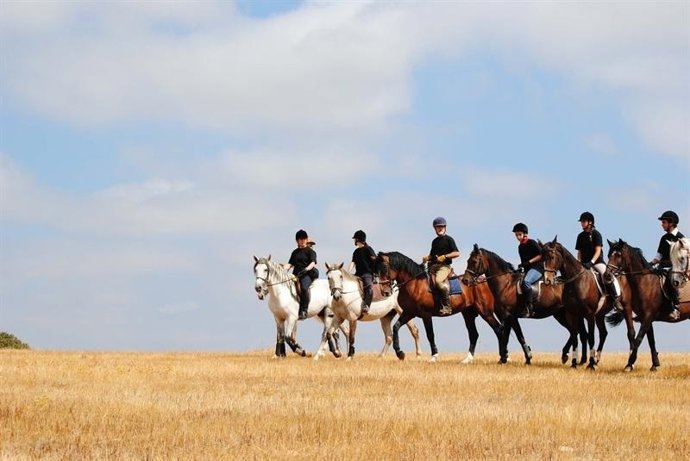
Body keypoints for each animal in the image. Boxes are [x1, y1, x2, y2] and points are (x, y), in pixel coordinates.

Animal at [375, 251, 507, 363]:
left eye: (385, 268)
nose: (384, 292)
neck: (415, 284)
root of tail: (484, 281)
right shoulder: (408, 313)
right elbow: (396, 327)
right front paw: (400, 353)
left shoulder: (426, 315)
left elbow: (430, 334)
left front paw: (434, 356)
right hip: (468, 314)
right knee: (474, 334)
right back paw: (468, 359)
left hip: (485, 312)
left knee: (498, 330)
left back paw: (503, 357)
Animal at [461, 244, 589, 365]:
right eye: (468, 261)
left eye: (474, 261)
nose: (465, 281)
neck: (506, 285)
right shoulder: (513, 318)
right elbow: (520, 336)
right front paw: (527, 358)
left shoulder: (508, 316)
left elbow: (506, 337)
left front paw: (504, 358)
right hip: (560, 314)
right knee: (576, 332)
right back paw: (573, 358)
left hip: (566, 314)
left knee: (576, 332)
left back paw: (568, 356)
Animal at [541, 238, 611, 369]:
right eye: (542, 258)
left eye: (552, 257)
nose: (547, 280)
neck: (576, 281)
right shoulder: (572, 314)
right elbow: (575, 337)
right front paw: (574, 363)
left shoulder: (589, 315)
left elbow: (591, 337)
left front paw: (590, 364)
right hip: (599, 315)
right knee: (603, 333)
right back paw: (596, 360)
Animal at [604, 239, 689, 371]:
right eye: (609, 255)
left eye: (618, 255)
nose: (607, 275)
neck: (645, 282)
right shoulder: (645, 317)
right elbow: (650, 340)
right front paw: (655, 364)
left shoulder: (649, 316)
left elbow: (639, 338)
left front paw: (630, 363)